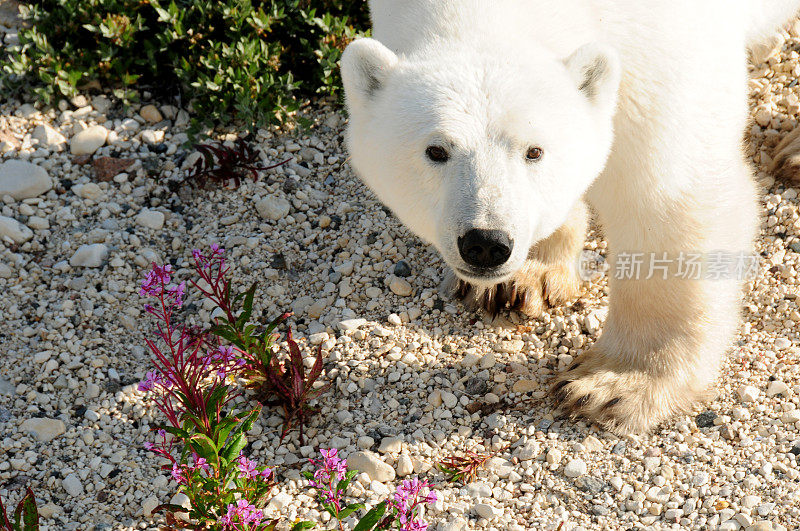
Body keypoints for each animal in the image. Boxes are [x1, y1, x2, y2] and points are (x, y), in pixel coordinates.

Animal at [340, 1, 800, 436]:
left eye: (534, 150)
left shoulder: (665, 61)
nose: (486, 244)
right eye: (436, 151)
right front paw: (525, 278)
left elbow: (667, 201)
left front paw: (614, 385)